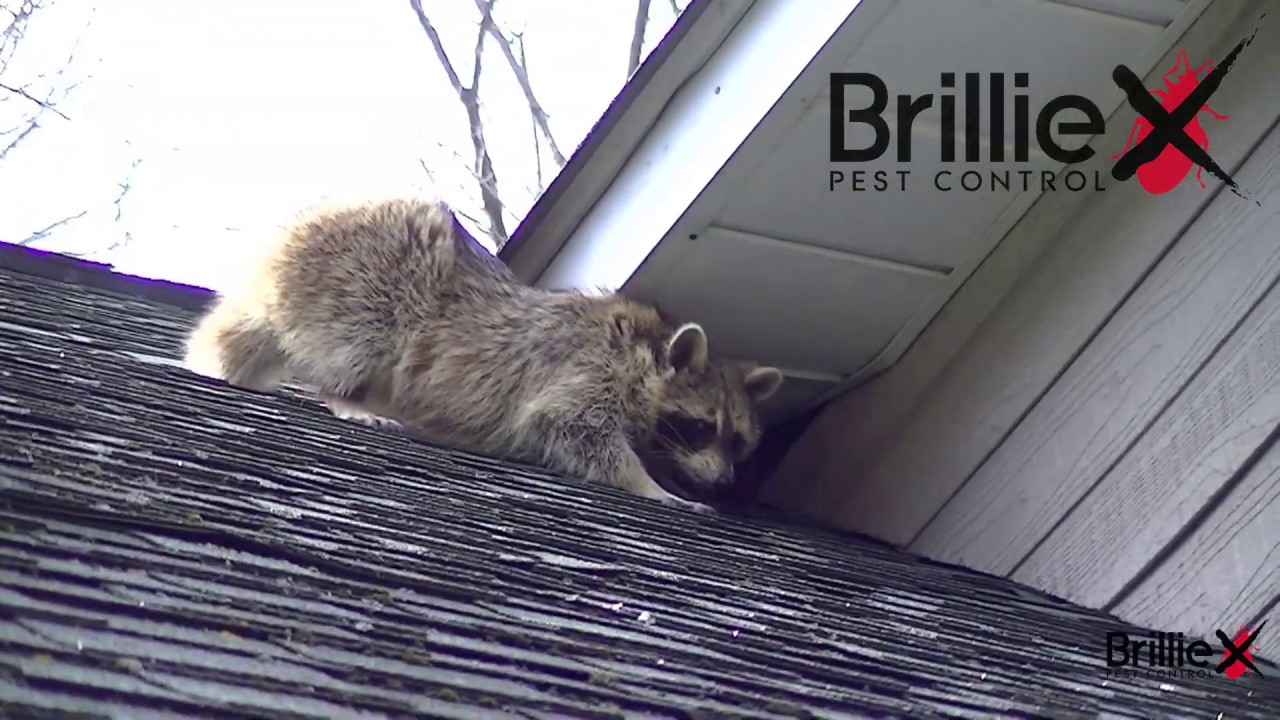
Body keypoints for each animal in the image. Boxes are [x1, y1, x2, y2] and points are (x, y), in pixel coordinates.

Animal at [182, 197, 784, 513]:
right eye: (702, 425)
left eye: (738, 440)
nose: (726, 482)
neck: (646, 348)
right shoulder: (584, 371)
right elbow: (572, 428)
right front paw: (651, 485)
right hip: (364, 275)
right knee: (366, 332)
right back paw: (347, 394)